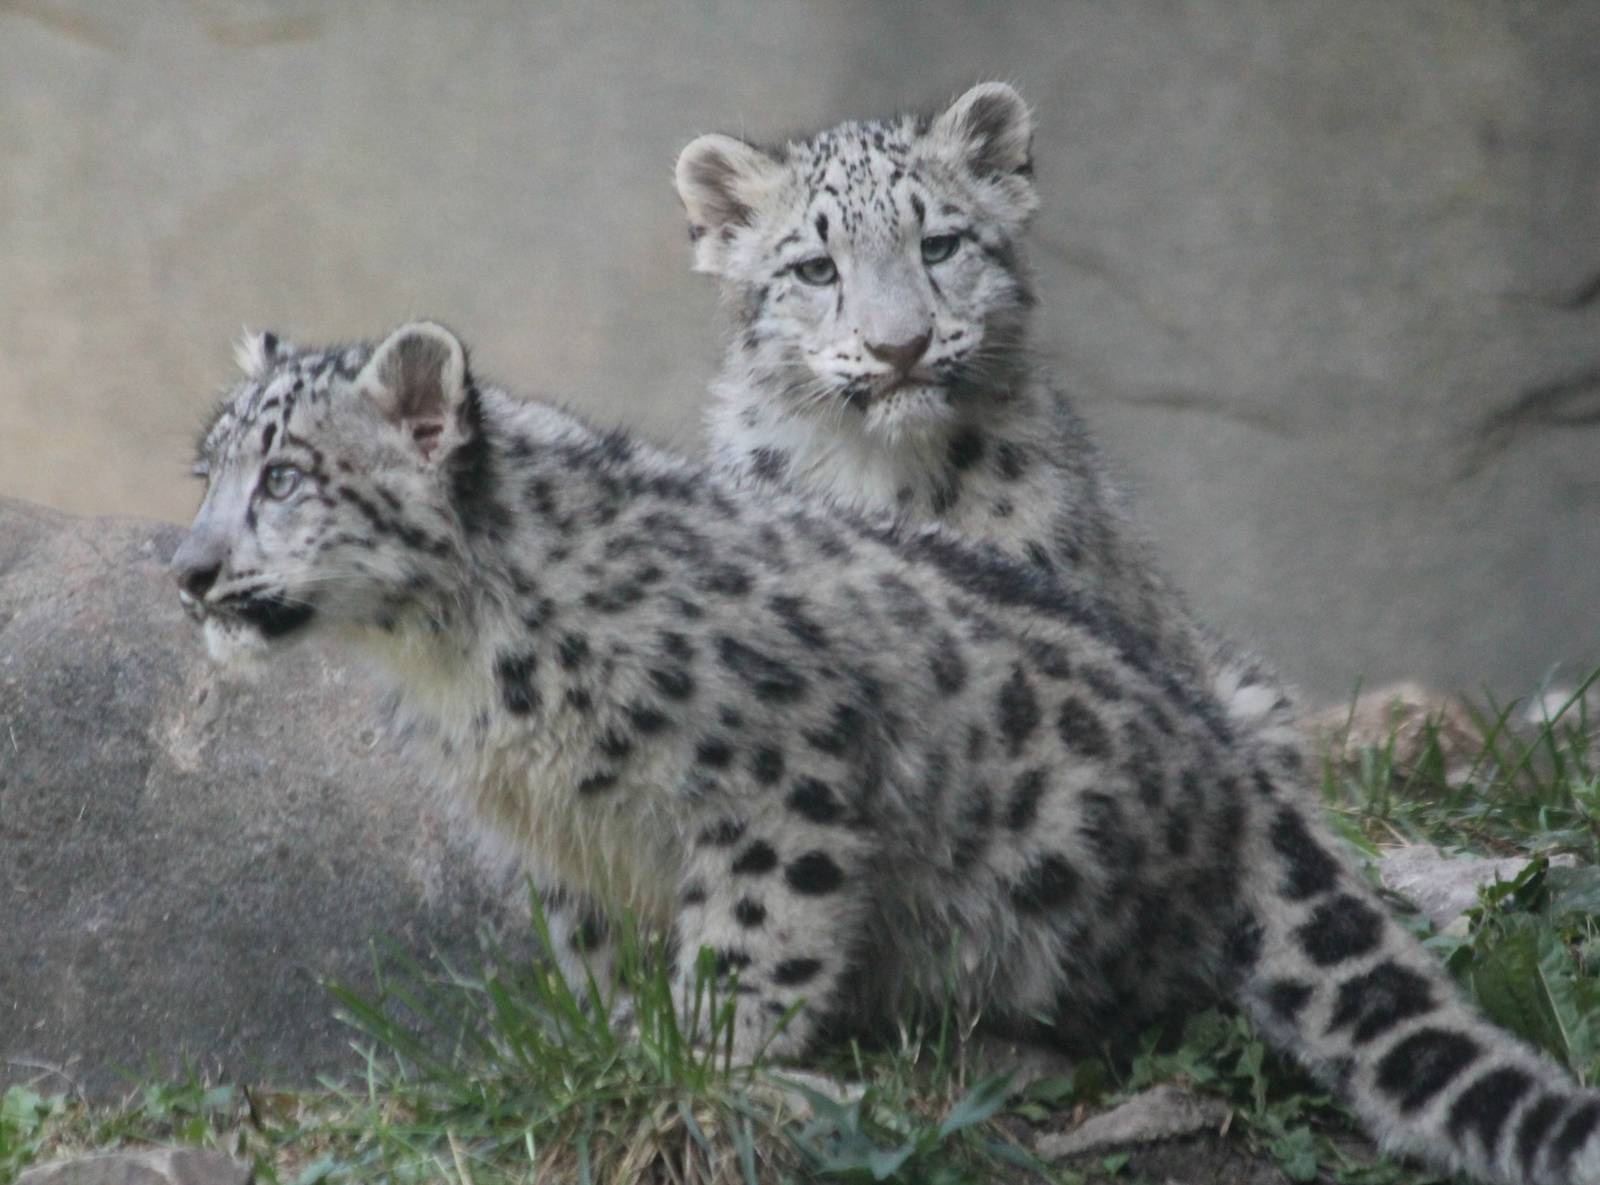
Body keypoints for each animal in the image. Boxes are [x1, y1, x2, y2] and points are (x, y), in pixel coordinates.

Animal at [172, 319, 1600, 1185]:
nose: (186, 570)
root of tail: (1243, 791)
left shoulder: (773, 765)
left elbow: (751, 933)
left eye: (285, 478)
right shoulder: (560, 837)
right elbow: (590, 953)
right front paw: (619, 1037)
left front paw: (710, 1055)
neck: (453, 664)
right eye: (207, 469)